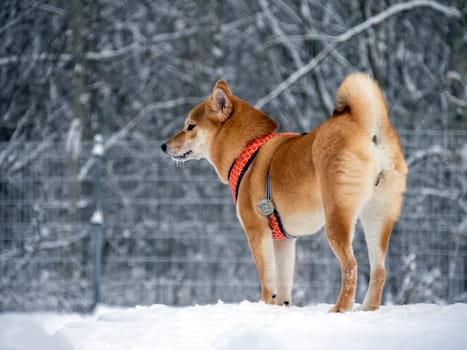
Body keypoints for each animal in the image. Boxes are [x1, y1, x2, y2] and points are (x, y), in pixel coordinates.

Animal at [163, 73, 408, 312]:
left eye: (190, 126)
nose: (163, 146)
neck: (247, 149)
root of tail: (365, 127)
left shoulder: (257, 231)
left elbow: (267, 279)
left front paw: (264, 305)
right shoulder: (283, 240)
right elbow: (283, 281)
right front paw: (281, 306)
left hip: (337, 219)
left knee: (350, 265)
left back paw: (341, 308)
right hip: (377, 217)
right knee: (379, 270)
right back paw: (368, 308)